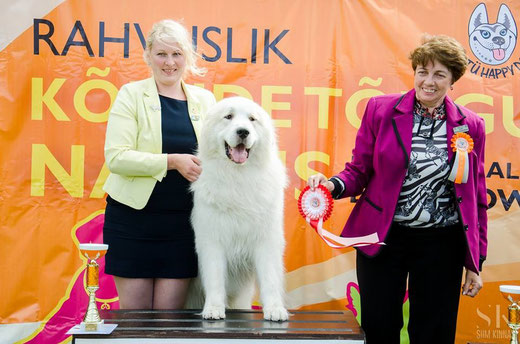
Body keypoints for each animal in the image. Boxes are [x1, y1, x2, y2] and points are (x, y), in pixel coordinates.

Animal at [187, 95, 288, 322]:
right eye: (228, 117)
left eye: (252, 119)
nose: (243, 132)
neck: (238, 176)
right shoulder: (212, 240)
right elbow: (215, 278)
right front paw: (213, 309)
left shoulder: (266, 240)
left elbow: (270, 278)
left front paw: (275, 309)